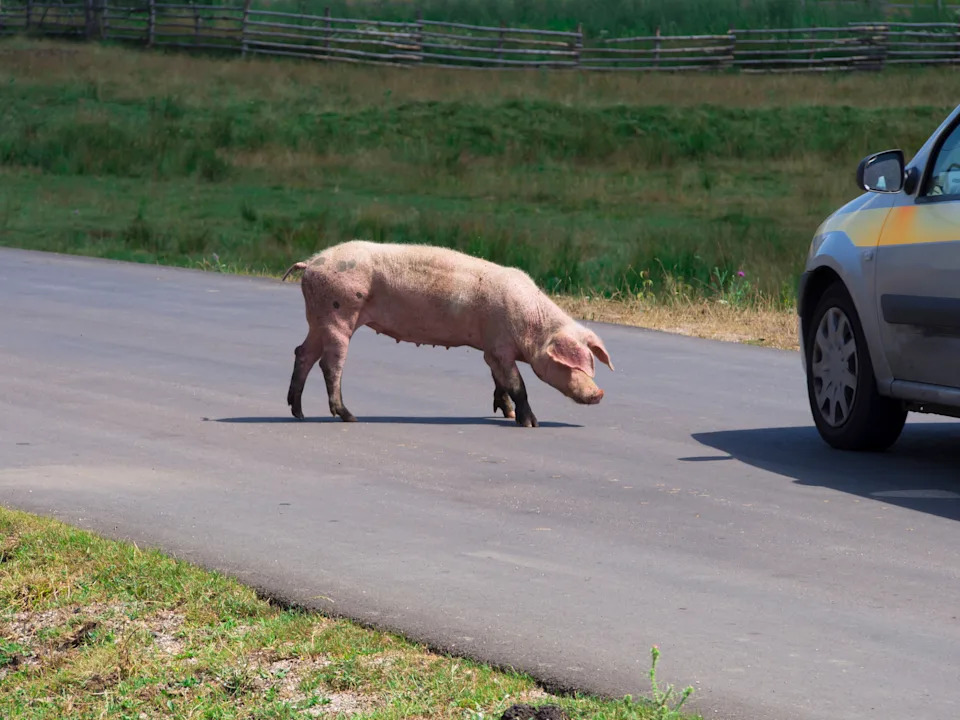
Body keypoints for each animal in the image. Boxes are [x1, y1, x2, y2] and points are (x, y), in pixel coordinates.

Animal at [281, 240, 614, 427]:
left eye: (592, 364)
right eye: (570, 365)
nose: (599, 393)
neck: (533, 326)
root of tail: (310, 263)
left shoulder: (490, 350)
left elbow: (500, 383)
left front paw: (505, 414)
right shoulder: (500, 347)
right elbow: (518, 385)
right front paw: (531, 424)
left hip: (318, 317)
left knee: (303, 352)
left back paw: (298, 412)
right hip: (339, 312)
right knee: (329, 363)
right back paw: (350, 416)